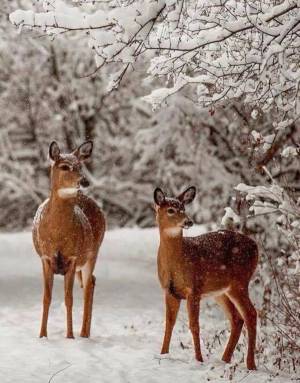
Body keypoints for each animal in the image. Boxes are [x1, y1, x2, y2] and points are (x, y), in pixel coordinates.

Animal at [32, 141, 105, 340]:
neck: (58, 235)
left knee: (88, 285)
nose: (84, 181)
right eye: (64, 166)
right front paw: (42, 335)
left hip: (93, 253)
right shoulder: (45, 257)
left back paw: (83, 334)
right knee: (92, 281)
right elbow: (46, 297)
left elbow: (69, 298)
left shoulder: (72, 258)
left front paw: (70, 336)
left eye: (80, 166)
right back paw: (85, 332)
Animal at [154, 188, 258, 370]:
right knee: (237, 318)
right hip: (221, 291)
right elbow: (169, 323)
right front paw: (163, 354)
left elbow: (194, 326)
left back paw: (250, 365)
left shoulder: (194, 289)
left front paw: (199, 359)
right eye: (171, 210)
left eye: (183, 208)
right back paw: (225, 359)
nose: (188, 221)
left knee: (251, 314)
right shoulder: (169, 291)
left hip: (240, 281)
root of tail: (256, 247)